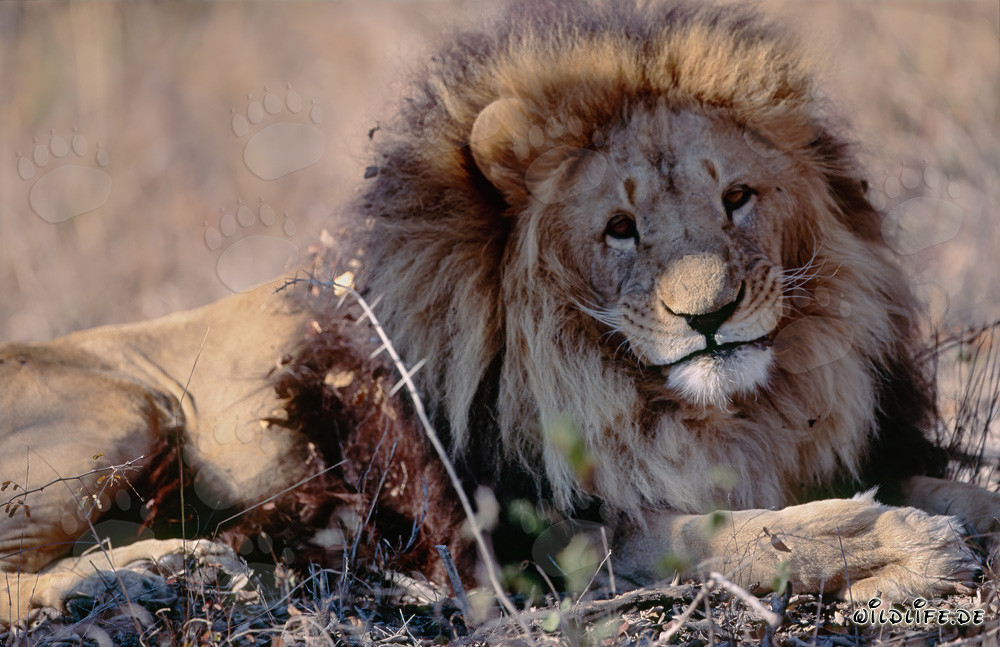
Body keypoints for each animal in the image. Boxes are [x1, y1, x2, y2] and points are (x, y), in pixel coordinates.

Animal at [2, 0, 998, 624]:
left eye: (738, 199)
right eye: (620, 229)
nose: (710, 316)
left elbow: (955, 489)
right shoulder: (550, 536)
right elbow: (741, 535)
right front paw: (905, 546)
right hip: (121, 410)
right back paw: (130, 580)